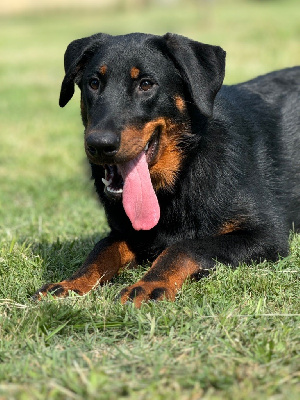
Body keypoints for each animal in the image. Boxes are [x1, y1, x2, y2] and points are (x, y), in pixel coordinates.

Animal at [36, 32, 300, 308]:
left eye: (146, 84)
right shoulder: (126, 233)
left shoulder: (266, 235)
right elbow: (100, 250)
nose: (99, 144)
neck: (185, 169)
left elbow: (183, 247)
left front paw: (149, 284)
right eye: (94, 83)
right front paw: (71, 283)